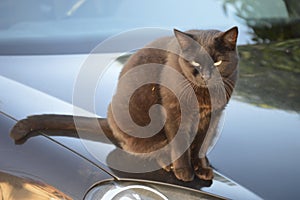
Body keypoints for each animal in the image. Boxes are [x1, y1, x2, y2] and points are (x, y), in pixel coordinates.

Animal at [9, 27, 239, 183]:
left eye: (217, 62)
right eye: (195, 62)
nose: (206, 75)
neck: (204, 96)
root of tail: (109, 121)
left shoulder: (214, 116)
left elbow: (201, 144)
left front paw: (202, 167)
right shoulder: (175, 111)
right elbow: (180, 141)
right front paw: (184, 171)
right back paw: (167, 162)